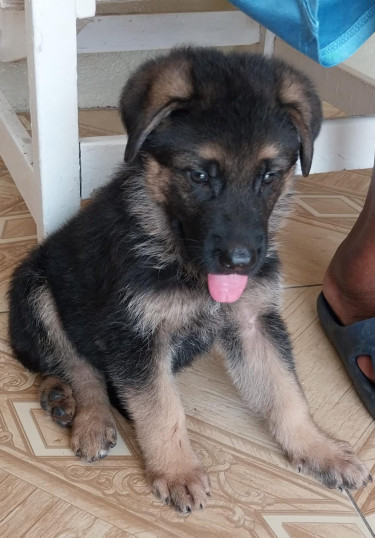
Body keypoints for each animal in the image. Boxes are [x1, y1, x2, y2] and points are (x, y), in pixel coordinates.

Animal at [8, 47, 370, 510]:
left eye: (269, 176)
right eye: (199, 176)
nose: (241, 261)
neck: (182, 257)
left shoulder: (253, 322)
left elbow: (286, 392)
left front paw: (317, 448)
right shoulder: (134, 336)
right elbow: (162, 409)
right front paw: (178, 470)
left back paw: (60, 397)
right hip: (36, 289)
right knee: (77, 365)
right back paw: (86, 414)